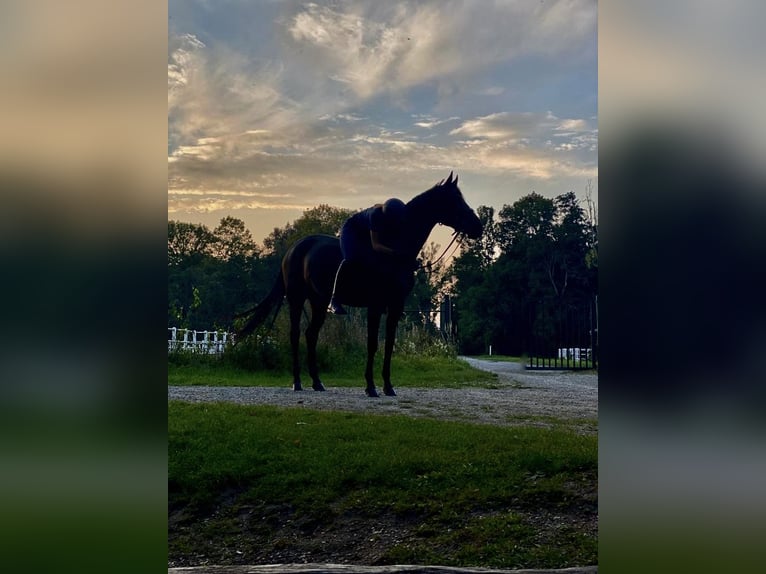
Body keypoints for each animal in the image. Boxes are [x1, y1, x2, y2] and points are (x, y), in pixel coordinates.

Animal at [237, 170, 484, 396]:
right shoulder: (375, 306)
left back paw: (317, 382)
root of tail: (293, 249)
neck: (393, 253)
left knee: (311, 335)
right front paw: (371, 387)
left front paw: (388, 387)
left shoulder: (395, 306)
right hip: (297, 299)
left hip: (319, 302)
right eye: (455, 200)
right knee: (295, 335)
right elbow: (372, 344)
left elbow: (389, 343)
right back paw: (297, 382)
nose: (477, 227)